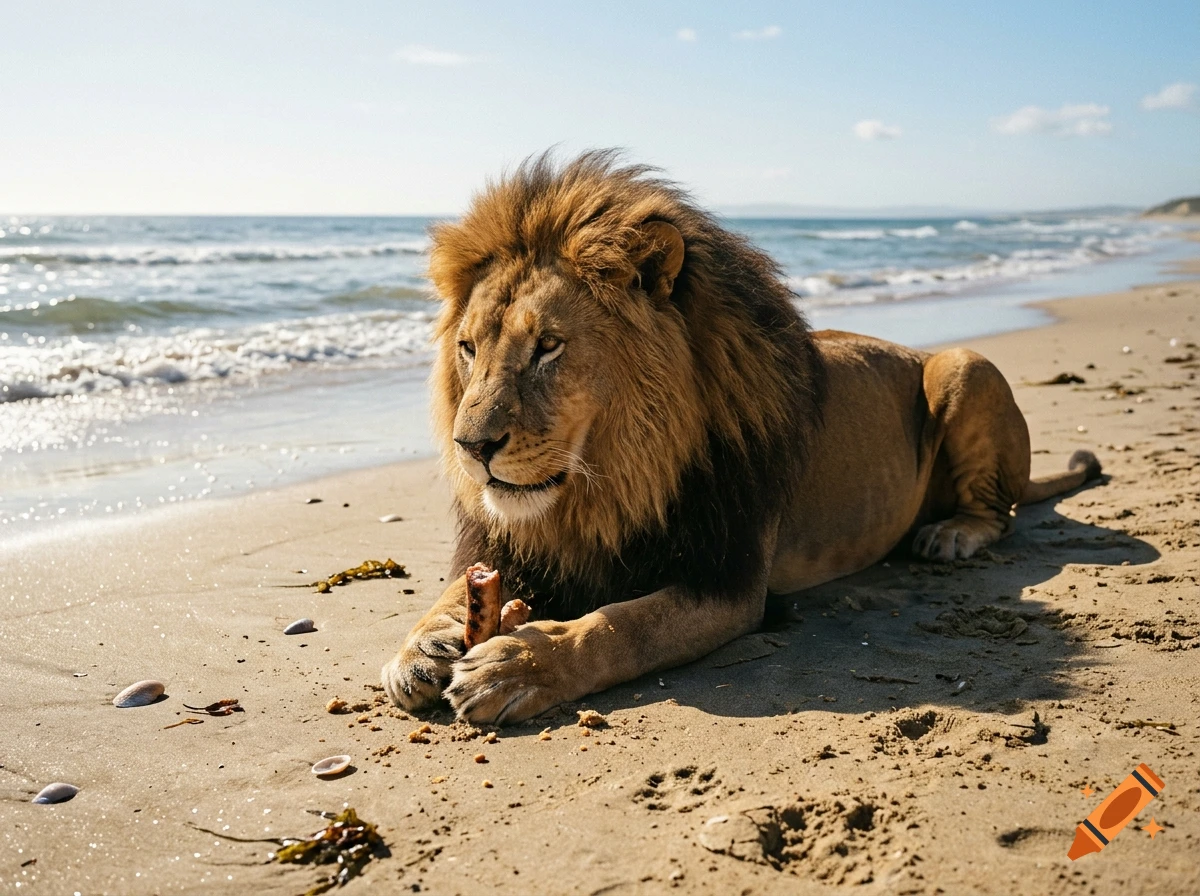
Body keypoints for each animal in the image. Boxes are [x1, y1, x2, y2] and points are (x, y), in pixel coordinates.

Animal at [381, 151, 1101, 724]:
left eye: (548, 347)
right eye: (469, 349)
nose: (470, 449)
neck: (608, 487)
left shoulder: (730, 582)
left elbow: (620, 627)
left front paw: (517, 666)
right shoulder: (513, 548)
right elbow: (454, 591)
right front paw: (419, 648)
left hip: (963, 365)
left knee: (1000, 512)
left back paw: (951, 533)